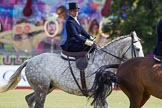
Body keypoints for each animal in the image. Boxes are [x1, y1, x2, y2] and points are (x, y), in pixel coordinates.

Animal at [0, 31, 144, 108]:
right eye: (137, 49)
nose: (141, 64)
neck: (103, 62)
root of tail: (30, 60)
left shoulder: (100, 94)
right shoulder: (97, 93)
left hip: (46, 88)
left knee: (29, 99)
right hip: (42, 89)